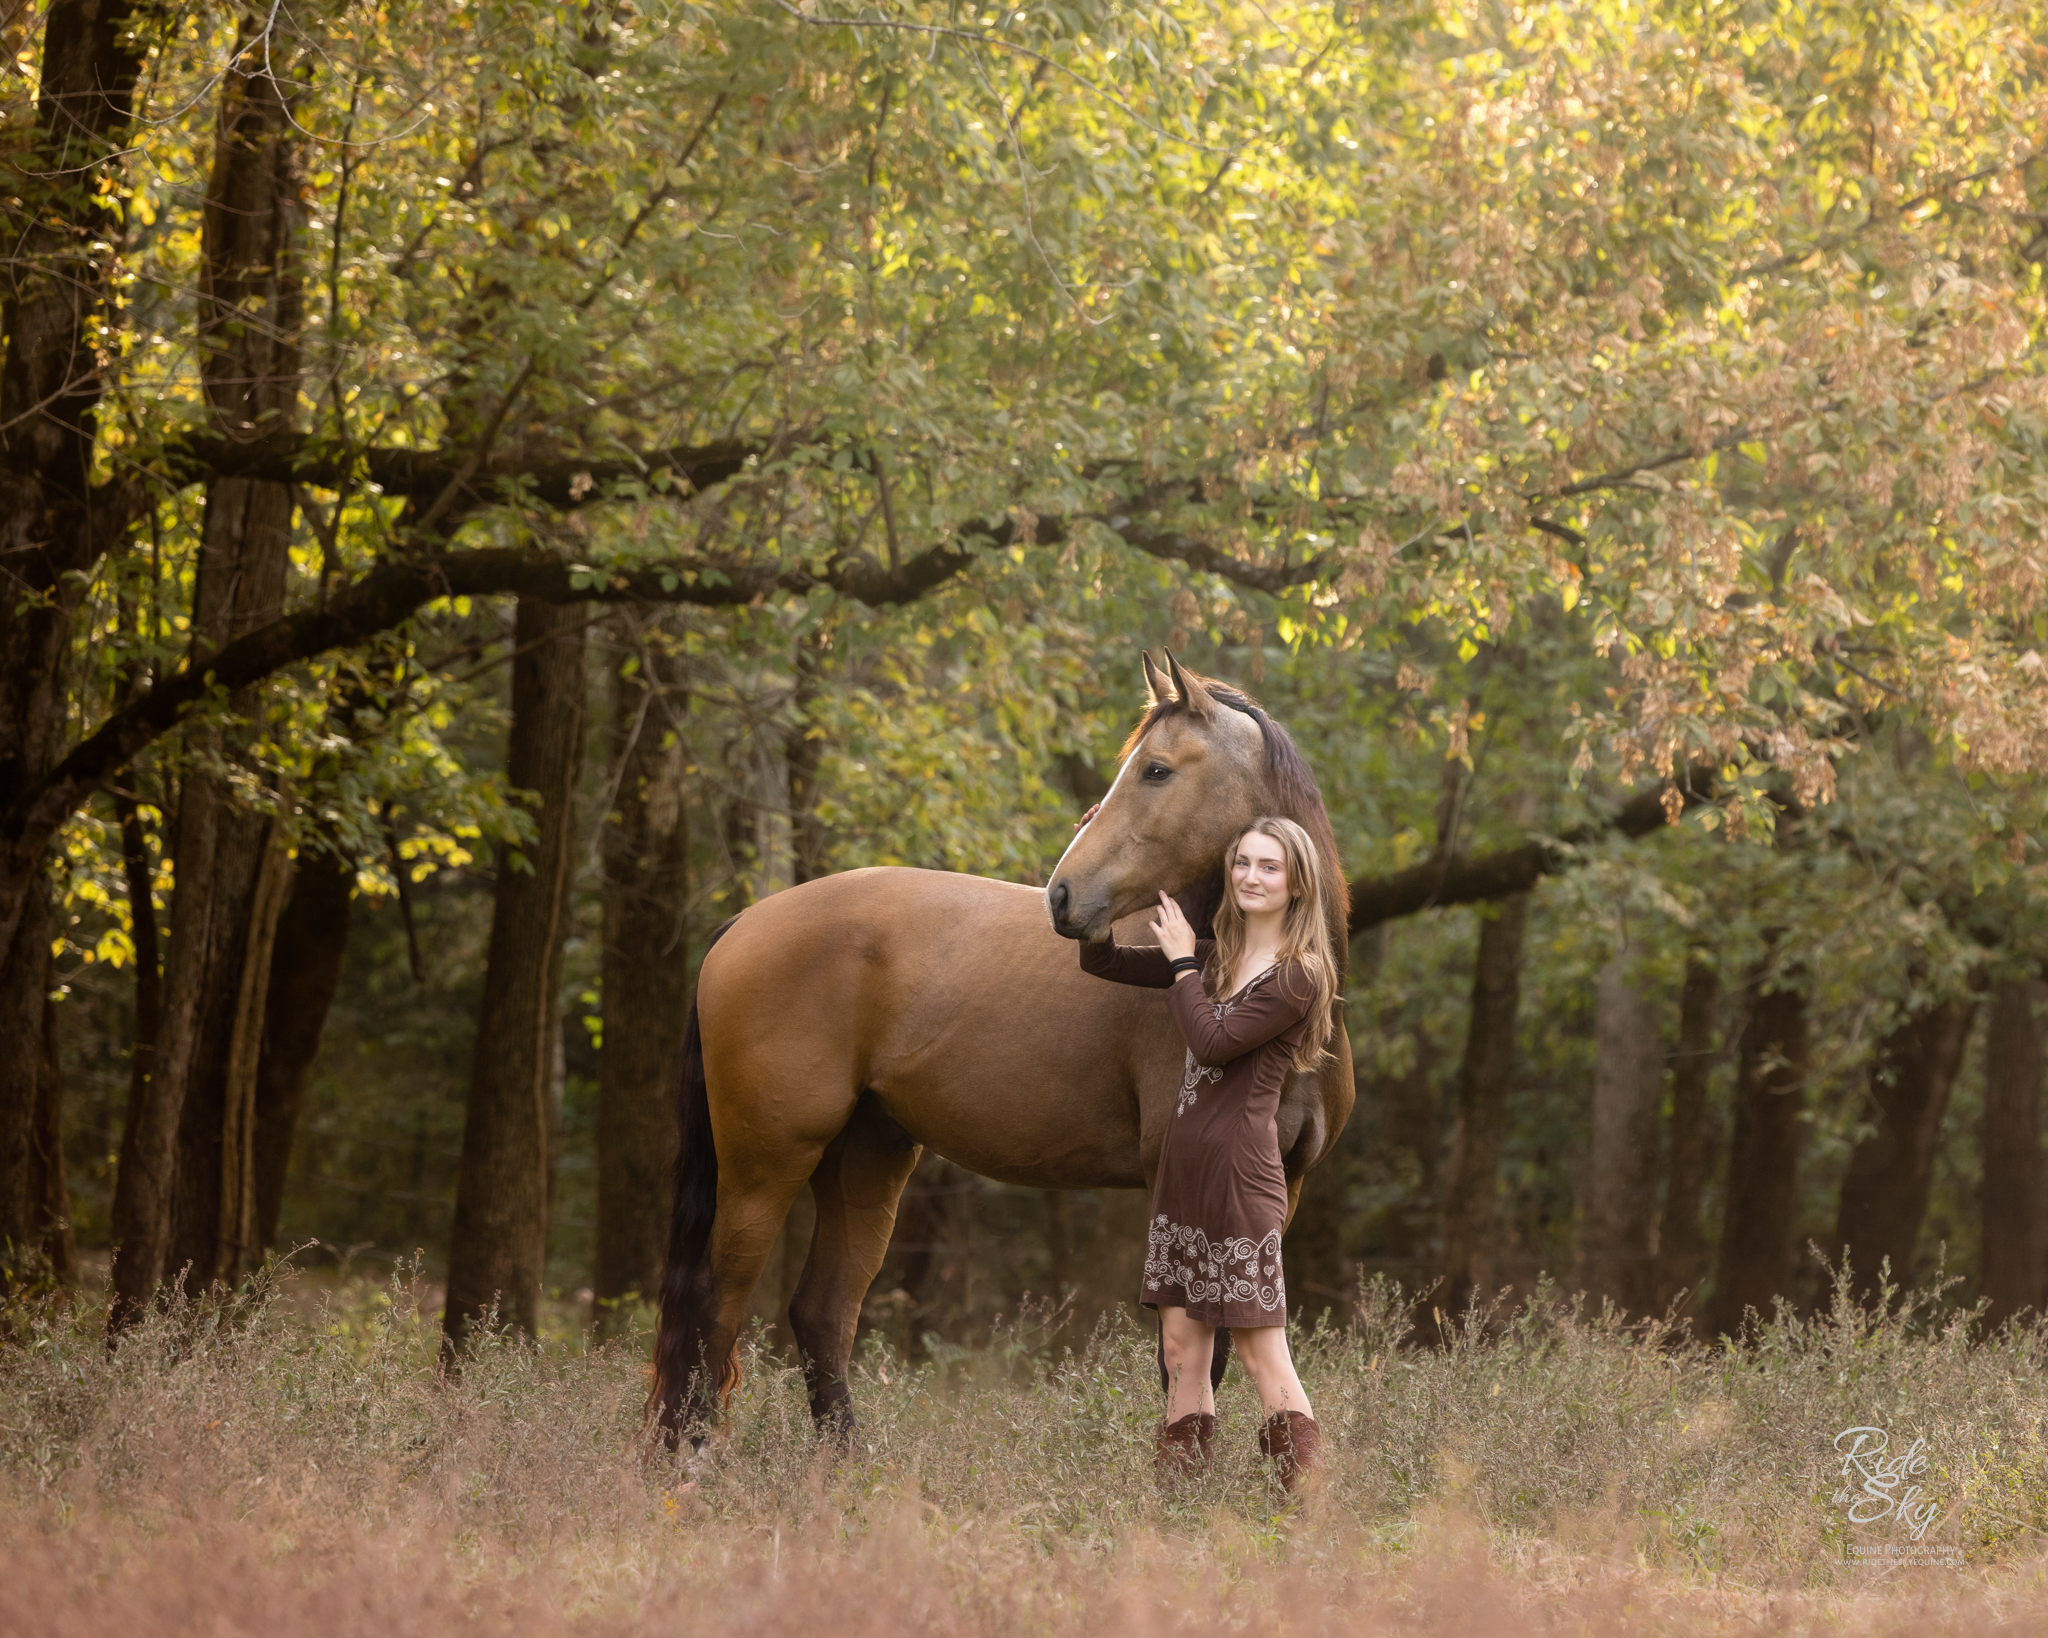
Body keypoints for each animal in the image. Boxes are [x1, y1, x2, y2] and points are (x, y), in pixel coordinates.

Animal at [655, 651, 1351, 1449]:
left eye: (1157, 770)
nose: (1063, 895)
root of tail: (741, 922)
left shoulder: (1280, 1192)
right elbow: (1190, 1360)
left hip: (866, 1159)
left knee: (821, 1313)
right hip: (763, 1169)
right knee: (716, 1311)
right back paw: (694, 1459)